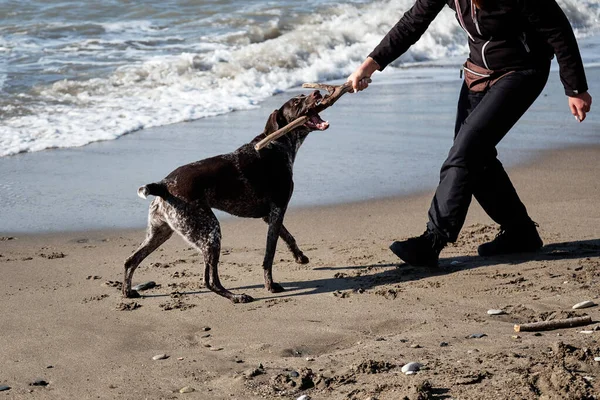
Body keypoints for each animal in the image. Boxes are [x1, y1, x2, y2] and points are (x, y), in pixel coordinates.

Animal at [122, 90, 328, 304]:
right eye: (296, 102)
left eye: (304, 94)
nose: (316, 92)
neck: (277, 144)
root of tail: (163, 185)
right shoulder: (277, 210)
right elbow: (269, 255)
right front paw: (270, 285)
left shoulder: (269, 215)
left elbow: (288, 237)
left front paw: (300, 257)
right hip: (210, 233)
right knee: (210, 280)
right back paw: (236, 296)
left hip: (160, 232)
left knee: (130, 261)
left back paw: (128, 292)